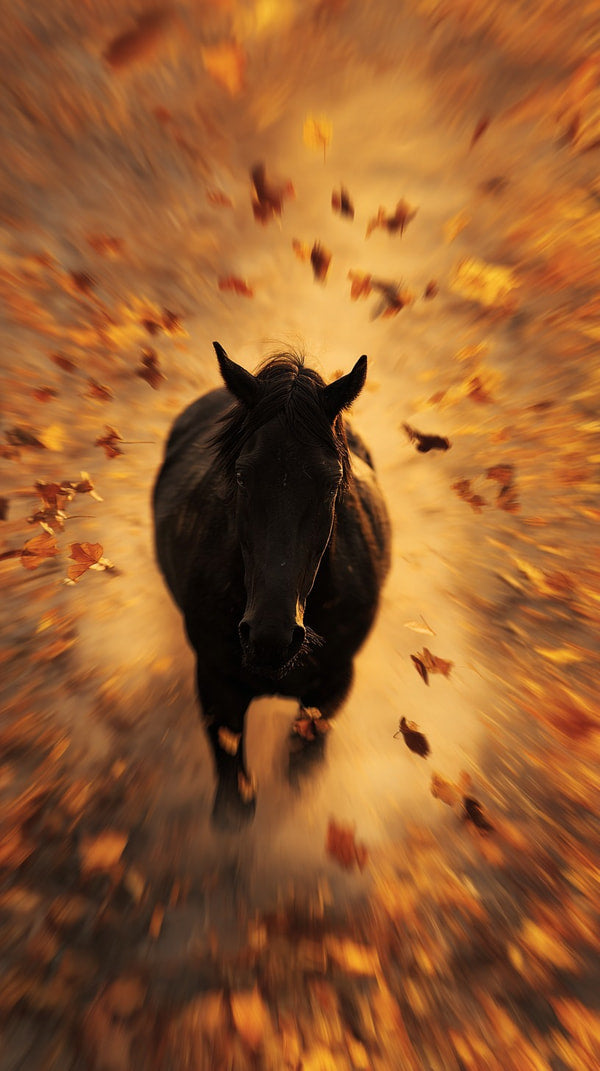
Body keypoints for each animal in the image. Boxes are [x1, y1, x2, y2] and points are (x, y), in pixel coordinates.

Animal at [153, 342, 391, 827]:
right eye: (243, 474)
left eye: (332, 481)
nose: (270, 636)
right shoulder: (217, 686)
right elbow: (234, 808)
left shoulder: (332, 687)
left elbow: (302, 773)